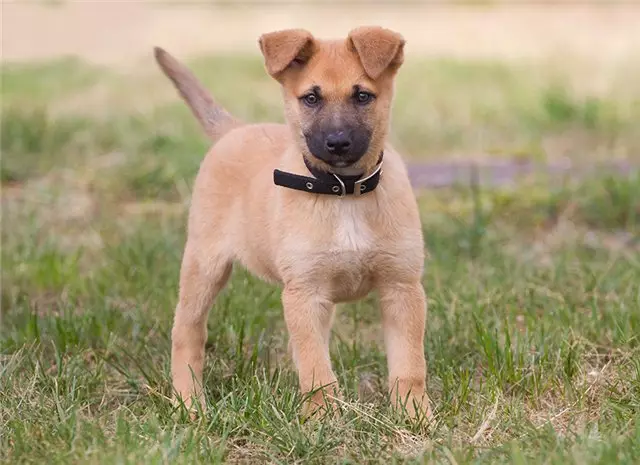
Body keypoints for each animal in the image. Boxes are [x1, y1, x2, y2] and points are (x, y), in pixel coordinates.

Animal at [155, 25, 432, 418]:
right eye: (311, 98)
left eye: (363, 96)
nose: (337, 143)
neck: (343, 192)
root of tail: (234, 130)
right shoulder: (305, 292)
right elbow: (317, 369)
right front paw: (324, 419)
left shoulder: (401, 287)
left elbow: (409, 367)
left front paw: (414, 416)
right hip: (203, 266)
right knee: (187, 333)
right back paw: (189, 403)